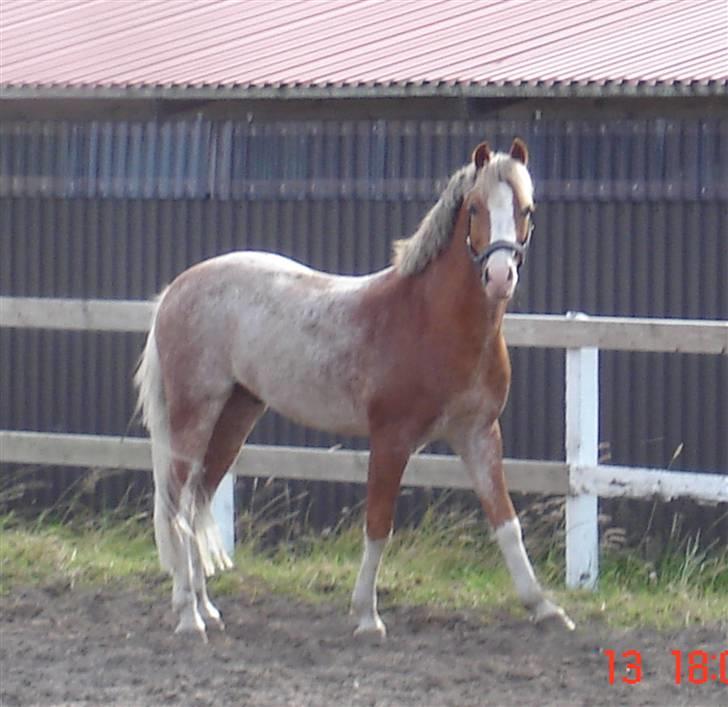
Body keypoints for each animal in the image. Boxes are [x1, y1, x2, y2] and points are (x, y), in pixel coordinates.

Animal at [134, 138, 572, 640]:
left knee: (196, 503)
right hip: (194, 416)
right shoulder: (391, 439)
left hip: (235, 416)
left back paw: (206, 609)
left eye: (526, 208)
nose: (500, 277)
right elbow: (378, 526)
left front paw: (545, 608)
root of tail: (175, 290)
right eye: (476, 208)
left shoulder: (479, 435)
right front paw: (367, 615)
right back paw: (188, 615)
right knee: (176, 507)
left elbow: (506, 523)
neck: (432, 319)